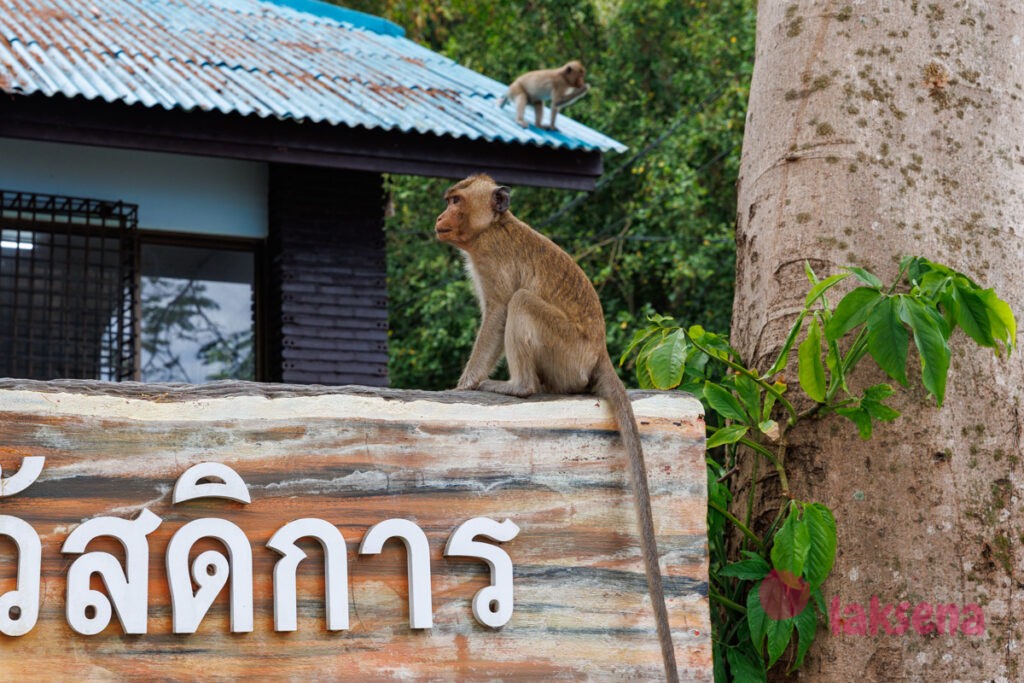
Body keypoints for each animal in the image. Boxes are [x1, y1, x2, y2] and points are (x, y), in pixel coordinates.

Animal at [434, 175, 679, 679]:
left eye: (455, 201)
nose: (439, 217)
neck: (493, 227)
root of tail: (600, 353)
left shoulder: (492, 260)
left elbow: (499, 313)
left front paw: (464, 384)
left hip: (565, 351)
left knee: (523, 303)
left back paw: (519, 387)